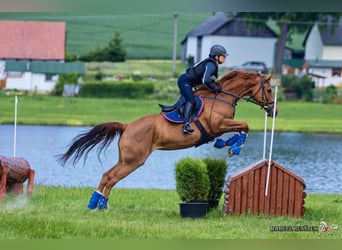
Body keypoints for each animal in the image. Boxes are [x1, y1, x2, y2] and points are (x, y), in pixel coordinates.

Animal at [57, 70, 278, 209]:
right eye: (268, 90)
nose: (274, 111)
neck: (221, 96)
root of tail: (127, 126)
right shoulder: (217, 125)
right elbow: (245, 126)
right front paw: (233, 147)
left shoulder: (222, 126)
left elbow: (242, 127)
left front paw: (227, 144)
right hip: (134, 161)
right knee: (112, 178)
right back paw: (101, 205)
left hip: (126, 159)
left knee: (107, 175)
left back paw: (94, 203)